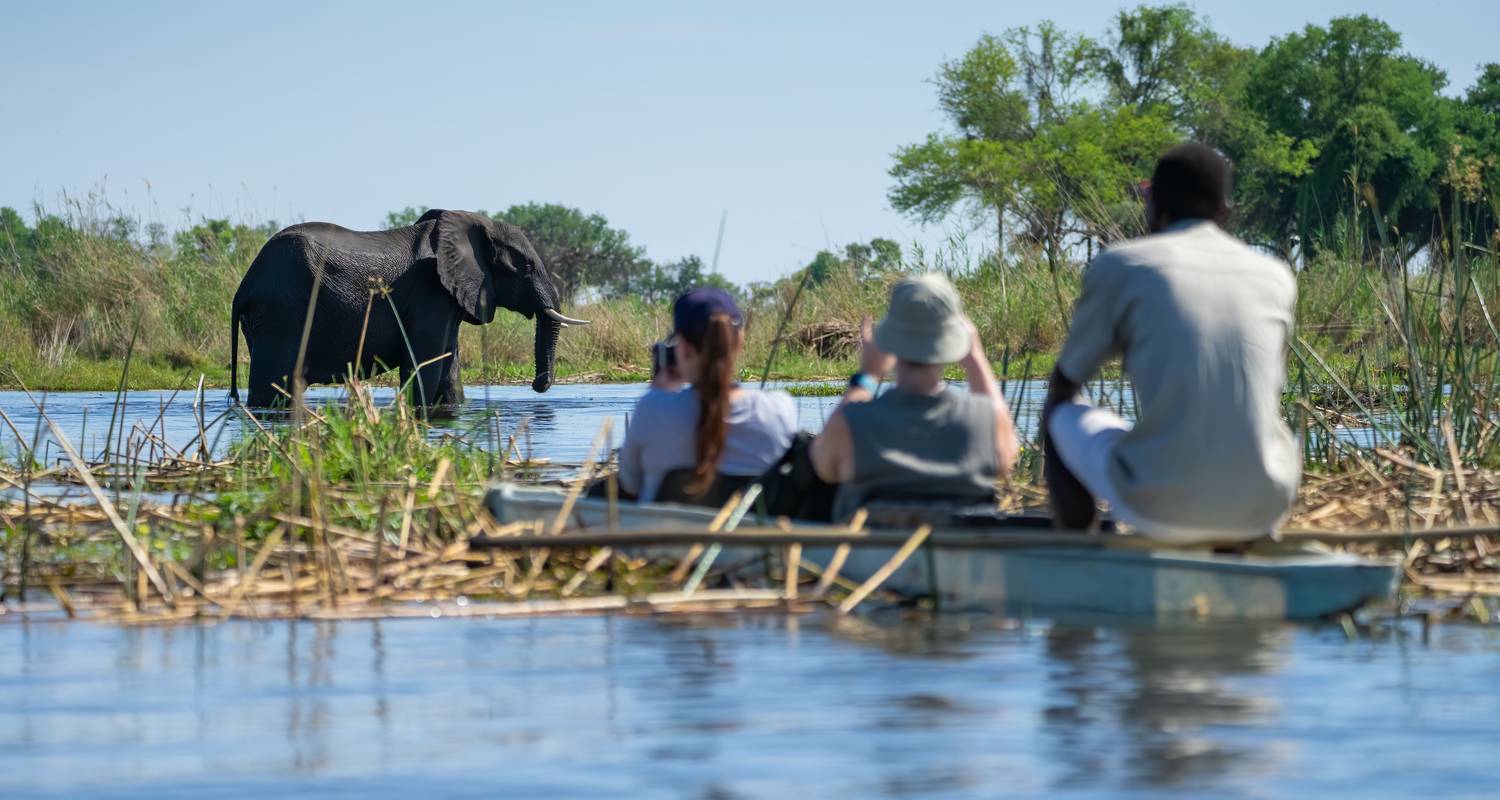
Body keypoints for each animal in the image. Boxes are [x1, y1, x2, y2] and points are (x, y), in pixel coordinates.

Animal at [229, 208, 585, 405]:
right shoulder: (429, 292)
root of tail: (244, 286)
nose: (538, 386)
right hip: (283, 313)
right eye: (524, 266)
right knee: (274, 385)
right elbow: (425, 364)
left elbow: (449, 368)